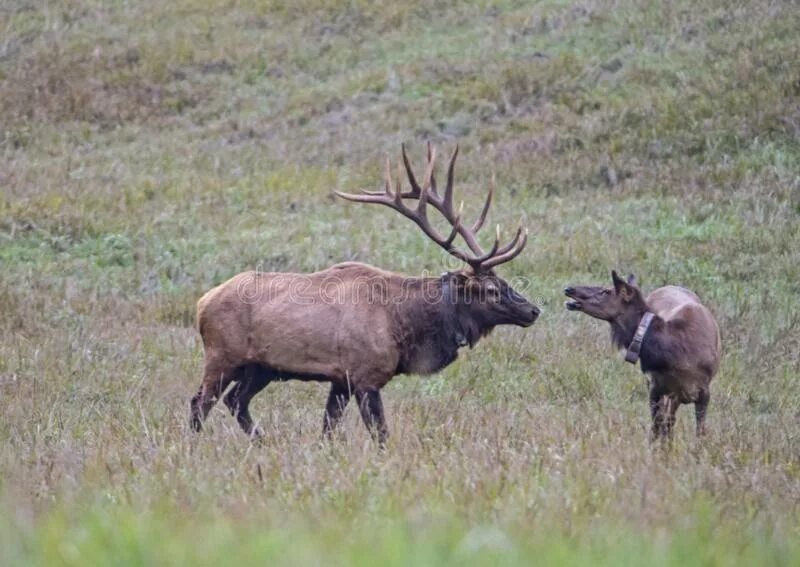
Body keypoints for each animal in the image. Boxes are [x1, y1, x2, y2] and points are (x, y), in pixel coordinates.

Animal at [189, 145, 536, 444]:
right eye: (490, 289)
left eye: (505, 282)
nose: (533, 310)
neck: (405, 324)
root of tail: (202, 303)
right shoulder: (365, 376)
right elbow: (380, 433)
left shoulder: (340, 380)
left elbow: (328, 429)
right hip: (222, 356)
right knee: (200, 402)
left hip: (261, 368)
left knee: (236, 401)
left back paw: (262, 442)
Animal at [564, 272, 720, 442]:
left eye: (606, 291)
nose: (569, 289)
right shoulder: (656, 386)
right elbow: (657, 426)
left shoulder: (704, 392)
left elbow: (700, 432)